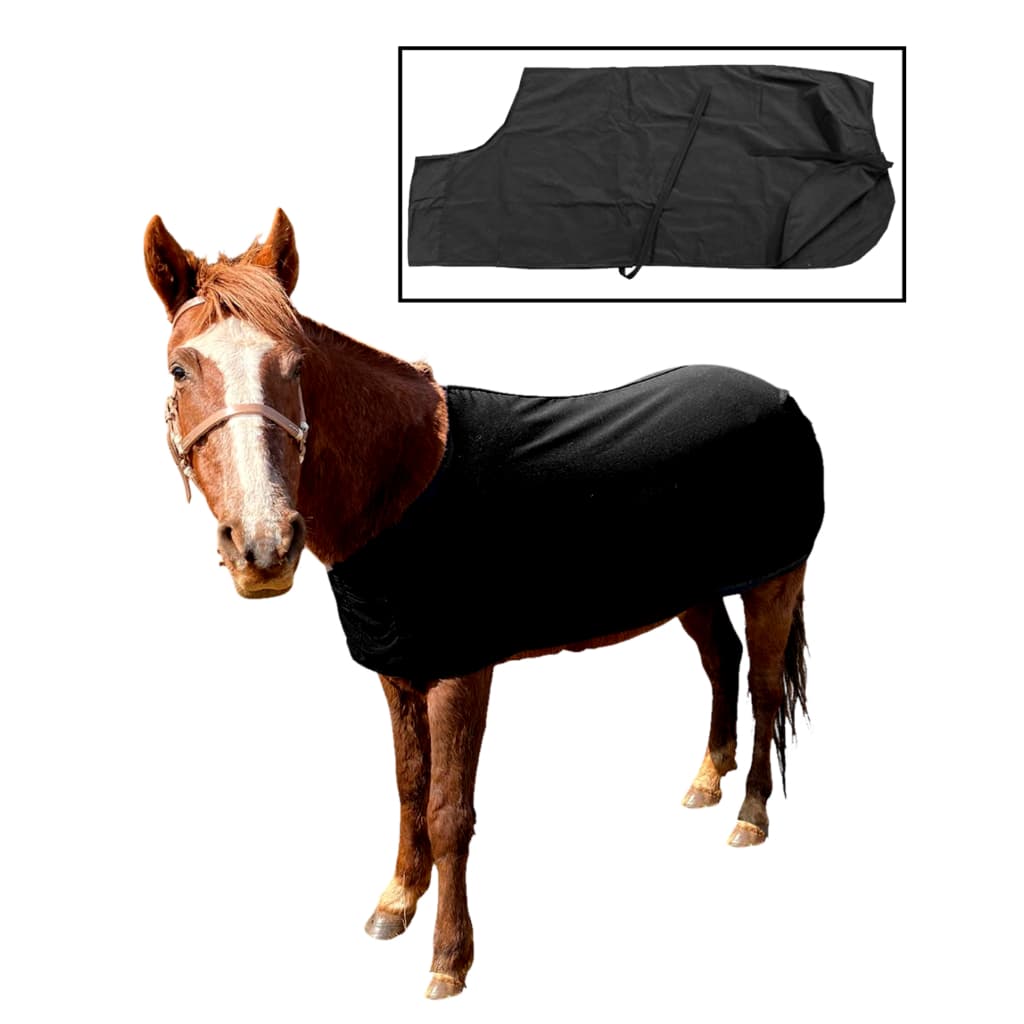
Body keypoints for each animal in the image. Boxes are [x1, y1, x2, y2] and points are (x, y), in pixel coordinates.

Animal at [144, 209, 824, 999]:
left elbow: (447, 812)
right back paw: (707, 778)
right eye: (179, 368)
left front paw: (449, 957)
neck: (401, 484)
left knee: (764, 684)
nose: (263, 547)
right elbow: (408, 786)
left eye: (298, 367)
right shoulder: (399, 670)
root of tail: (780, 397)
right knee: (722, 661)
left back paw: (750, 813)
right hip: (692, 587)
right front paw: (395, 903)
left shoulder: (461, 673)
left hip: (774, 577)